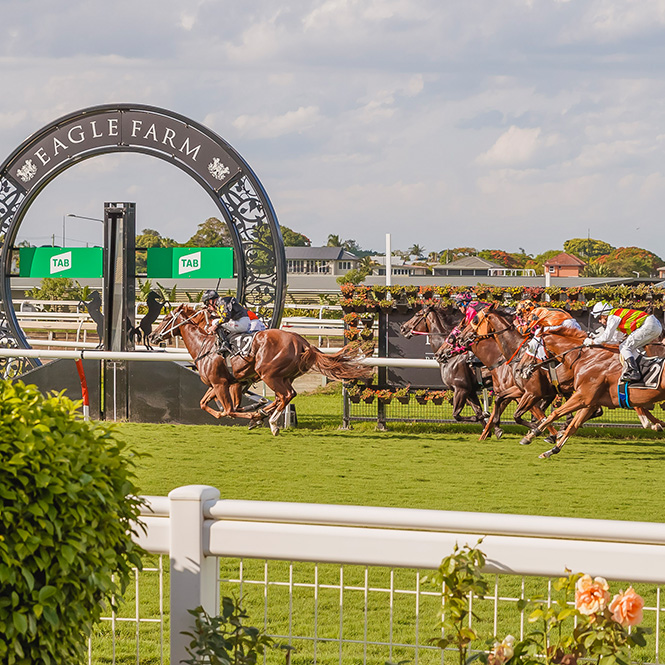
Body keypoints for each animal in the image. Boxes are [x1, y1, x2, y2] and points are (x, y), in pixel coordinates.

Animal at [148, 304, 374, 434]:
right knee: (286, 396)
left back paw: (271, 421)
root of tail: (303, 342)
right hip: (284, 376)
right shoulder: (221, 384)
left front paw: (253, 415)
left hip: (269, 375)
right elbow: (206, 404)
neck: (204, 344)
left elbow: (228, 411)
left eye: (166, 318)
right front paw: (255, 411)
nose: (152, 336)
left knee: (285, 395)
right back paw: (265, 414)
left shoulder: (220, 384)